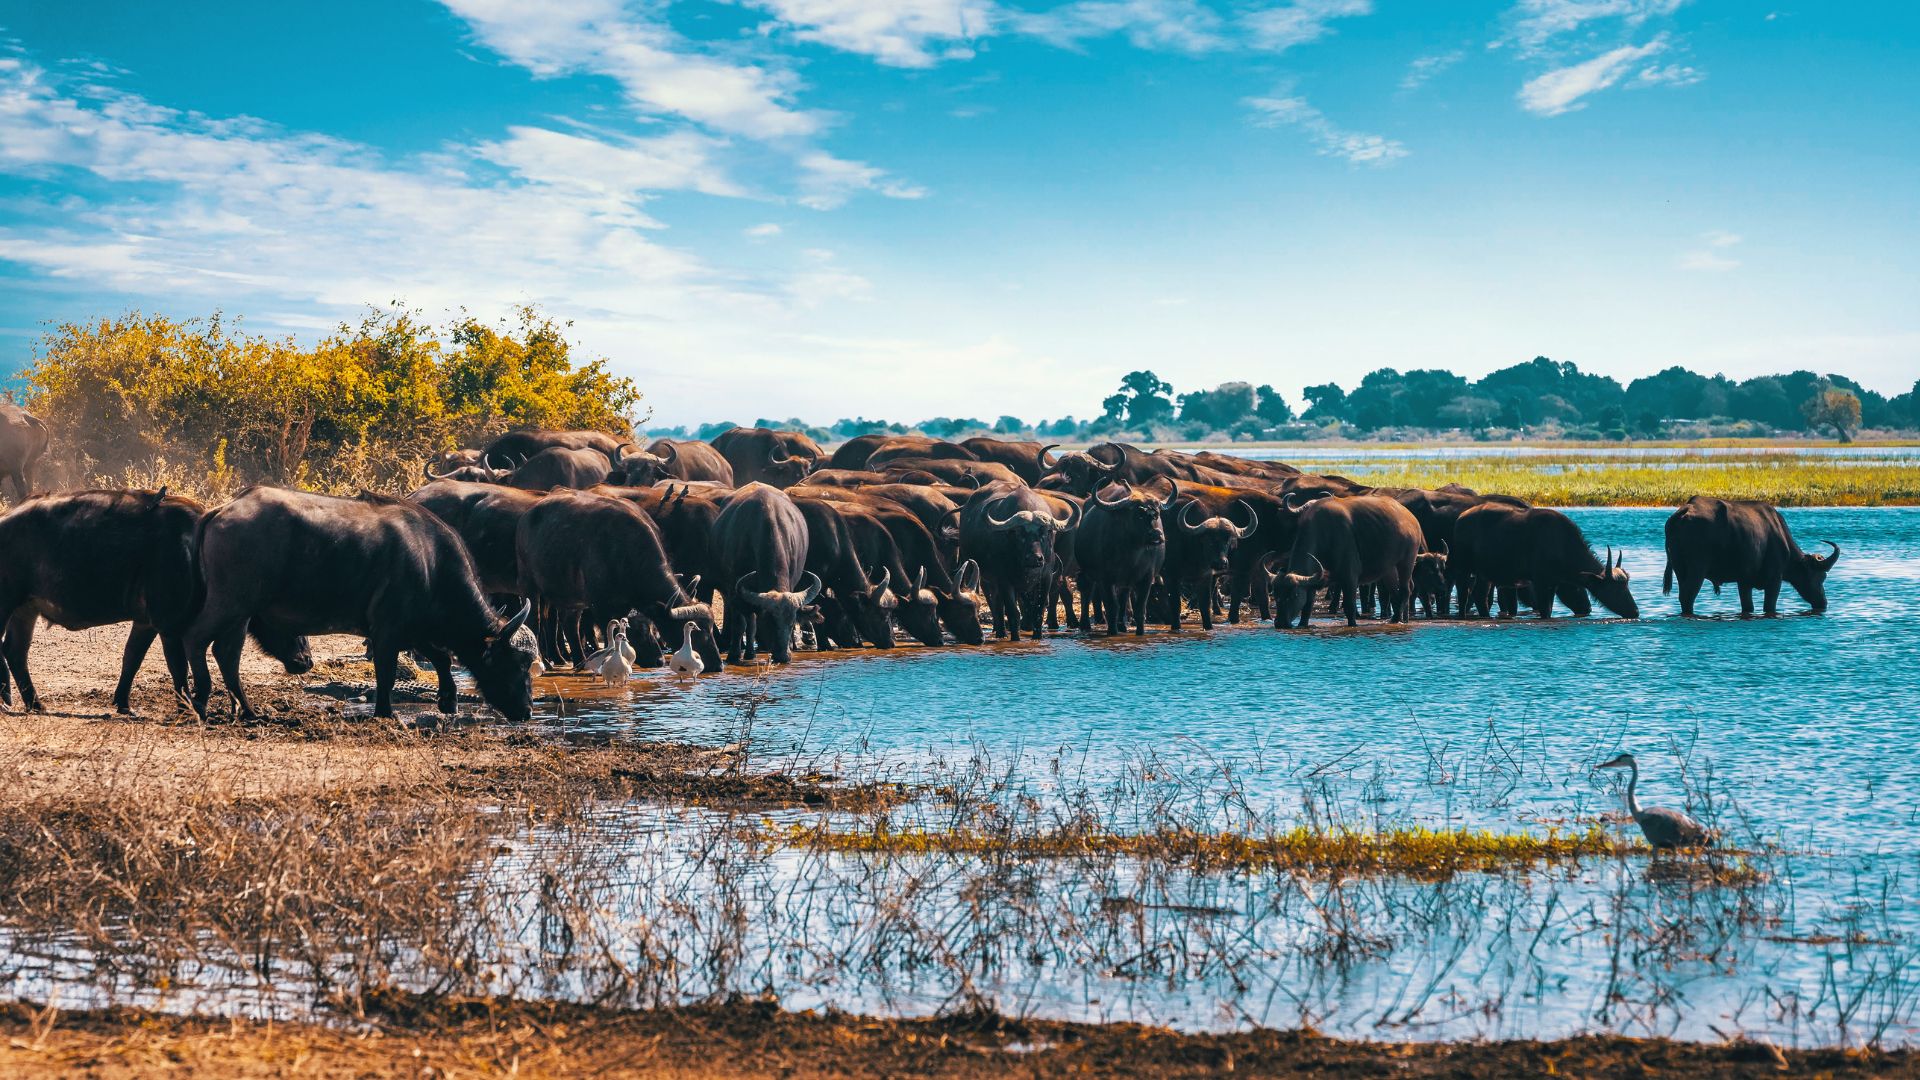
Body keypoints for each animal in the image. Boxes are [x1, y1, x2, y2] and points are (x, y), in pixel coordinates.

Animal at [1658, 495, 1835, 614]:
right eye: (1820, 577)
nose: (1823, 602)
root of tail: (1685, 511)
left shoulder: (1744, 581)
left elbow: (1748, 606)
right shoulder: (1774, 579)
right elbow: (1769, 606)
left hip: (1680, 569)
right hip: (1697, 569)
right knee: (1688, 596)